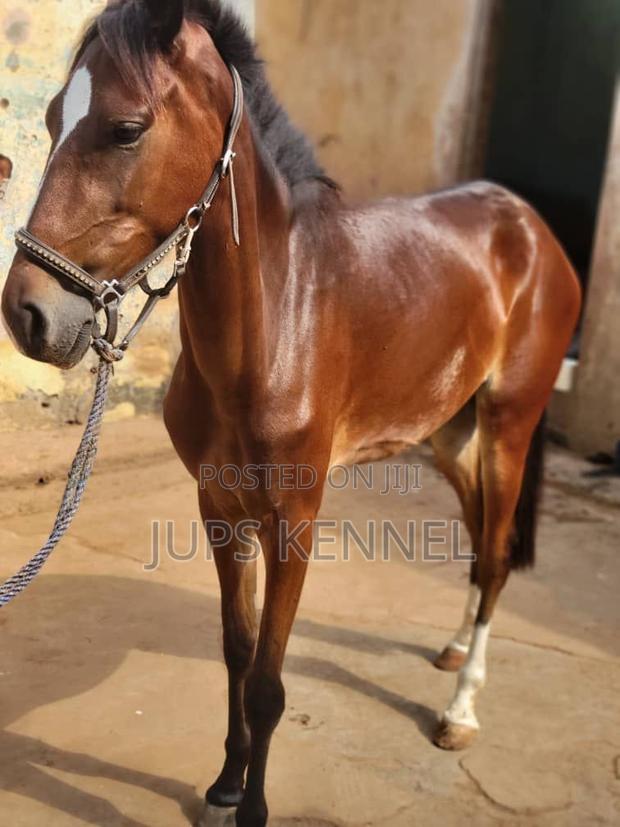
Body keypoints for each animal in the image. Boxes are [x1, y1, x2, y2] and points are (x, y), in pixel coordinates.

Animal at [1, 1, 581, 825]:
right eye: (52, 118)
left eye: (126, 128)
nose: (28, 315)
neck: (278, 318)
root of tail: (528, 226)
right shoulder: (219, 508)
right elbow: (237, 655)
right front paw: (223, 783)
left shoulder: (293, 521)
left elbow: (270, 685)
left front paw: (253, 806)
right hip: (449, 432)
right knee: (476, 541)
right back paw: (452, 651)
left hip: (509, 425)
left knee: (497, 553)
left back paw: (461, 710)